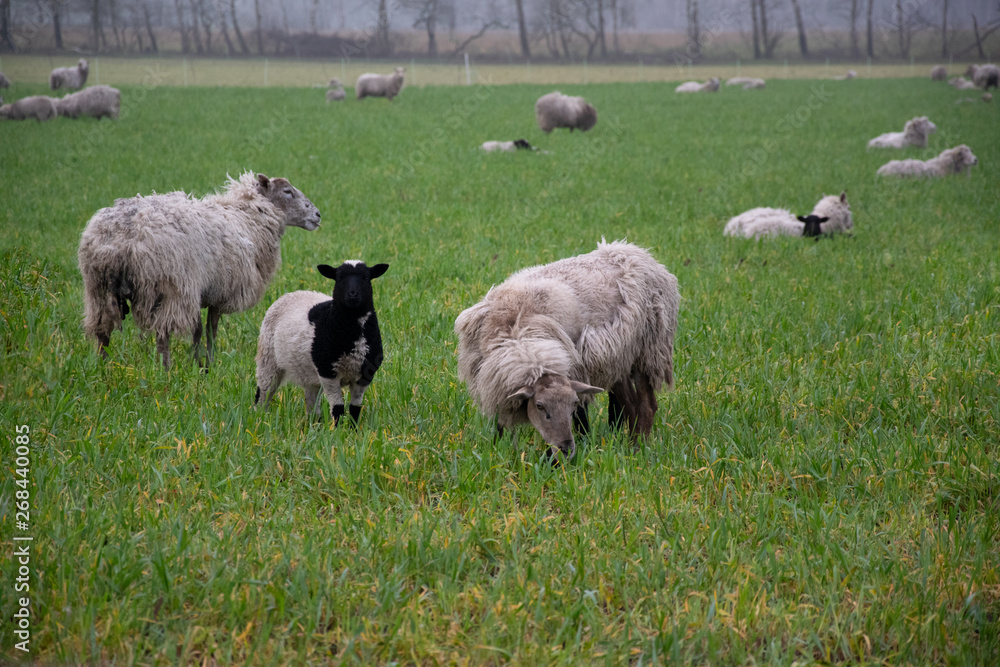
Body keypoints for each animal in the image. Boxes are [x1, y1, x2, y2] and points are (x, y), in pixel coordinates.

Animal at [77, 172, 322, 369]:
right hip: (172, 288)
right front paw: (209, 364)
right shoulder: (218, 293)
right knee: (163, 333)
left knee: (102, 331)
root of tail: (121, 237)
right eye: (287, 191)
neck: (247, 218)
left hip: (98, 290)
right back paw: (164, 371)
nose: (318, 215)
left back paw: (104, 368)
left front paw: (197, 364)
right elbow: (211, 329)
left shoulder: (201, 291)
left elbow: (197, 330)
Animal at [255, 261, 388, 425]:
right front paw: (338, 430)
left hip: (308, 373)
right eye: (339, 278)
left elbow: (355, 409)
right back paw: (259, 419)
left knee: (311, 404)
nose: (352, 294)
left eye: (366, 278)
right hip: (268, 357)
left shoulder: (365, 375)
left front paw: (354, 429)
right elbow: (338, 408)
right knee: (264, 391)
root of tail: (292, 293)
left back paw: (314, 425)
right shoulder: (328, 372)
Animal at [455, 240, 679, 460]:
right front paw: (497, 453)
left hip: (648, 351)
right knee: (630, 404)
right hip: (617, 357)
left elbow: (581, 417)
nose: (565, 449)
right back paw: (628, 445)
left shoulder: (574, 370)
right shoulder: (495, 382)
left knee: (647, 406)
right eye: (539, 406)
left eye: (571, 404)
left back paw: (637, 450)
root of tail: (638, 252)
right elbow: (499, 425)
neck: (518, 334)